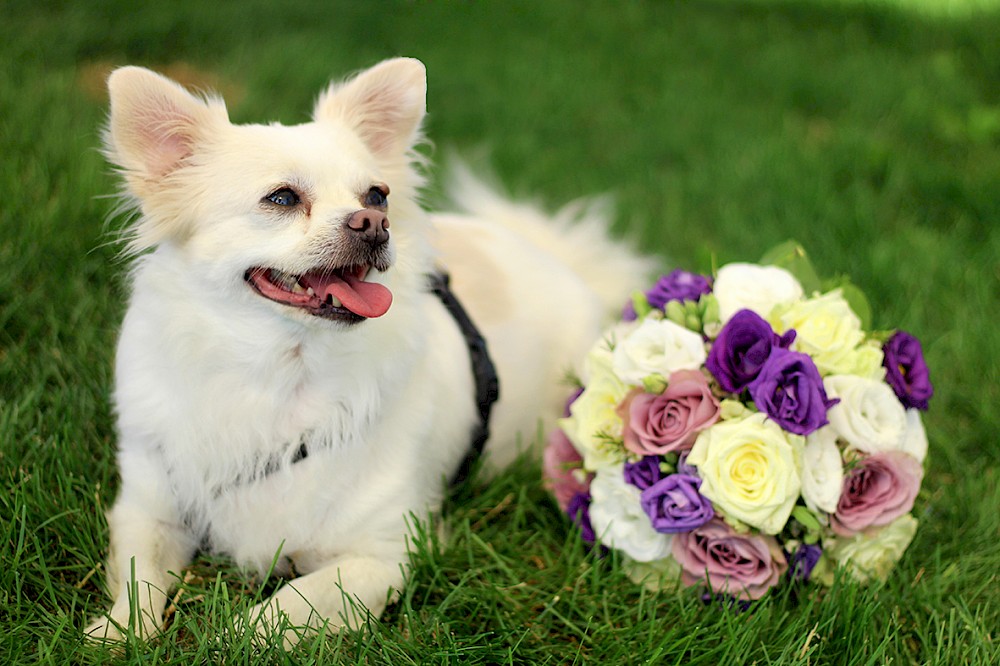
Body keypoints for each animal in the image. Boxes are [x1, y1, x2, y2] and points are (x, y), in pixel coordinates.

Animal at [84, 58, 648, 644]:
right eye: (281, 198)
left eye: (377, 196)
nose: (374, 223)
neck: (279, 372)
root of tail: (556, 259)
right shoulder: (148, 508)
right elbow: (138, 577)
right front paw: (118, 633)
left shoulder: (382, 557)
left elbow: (281, 607)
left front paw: (219, 640)